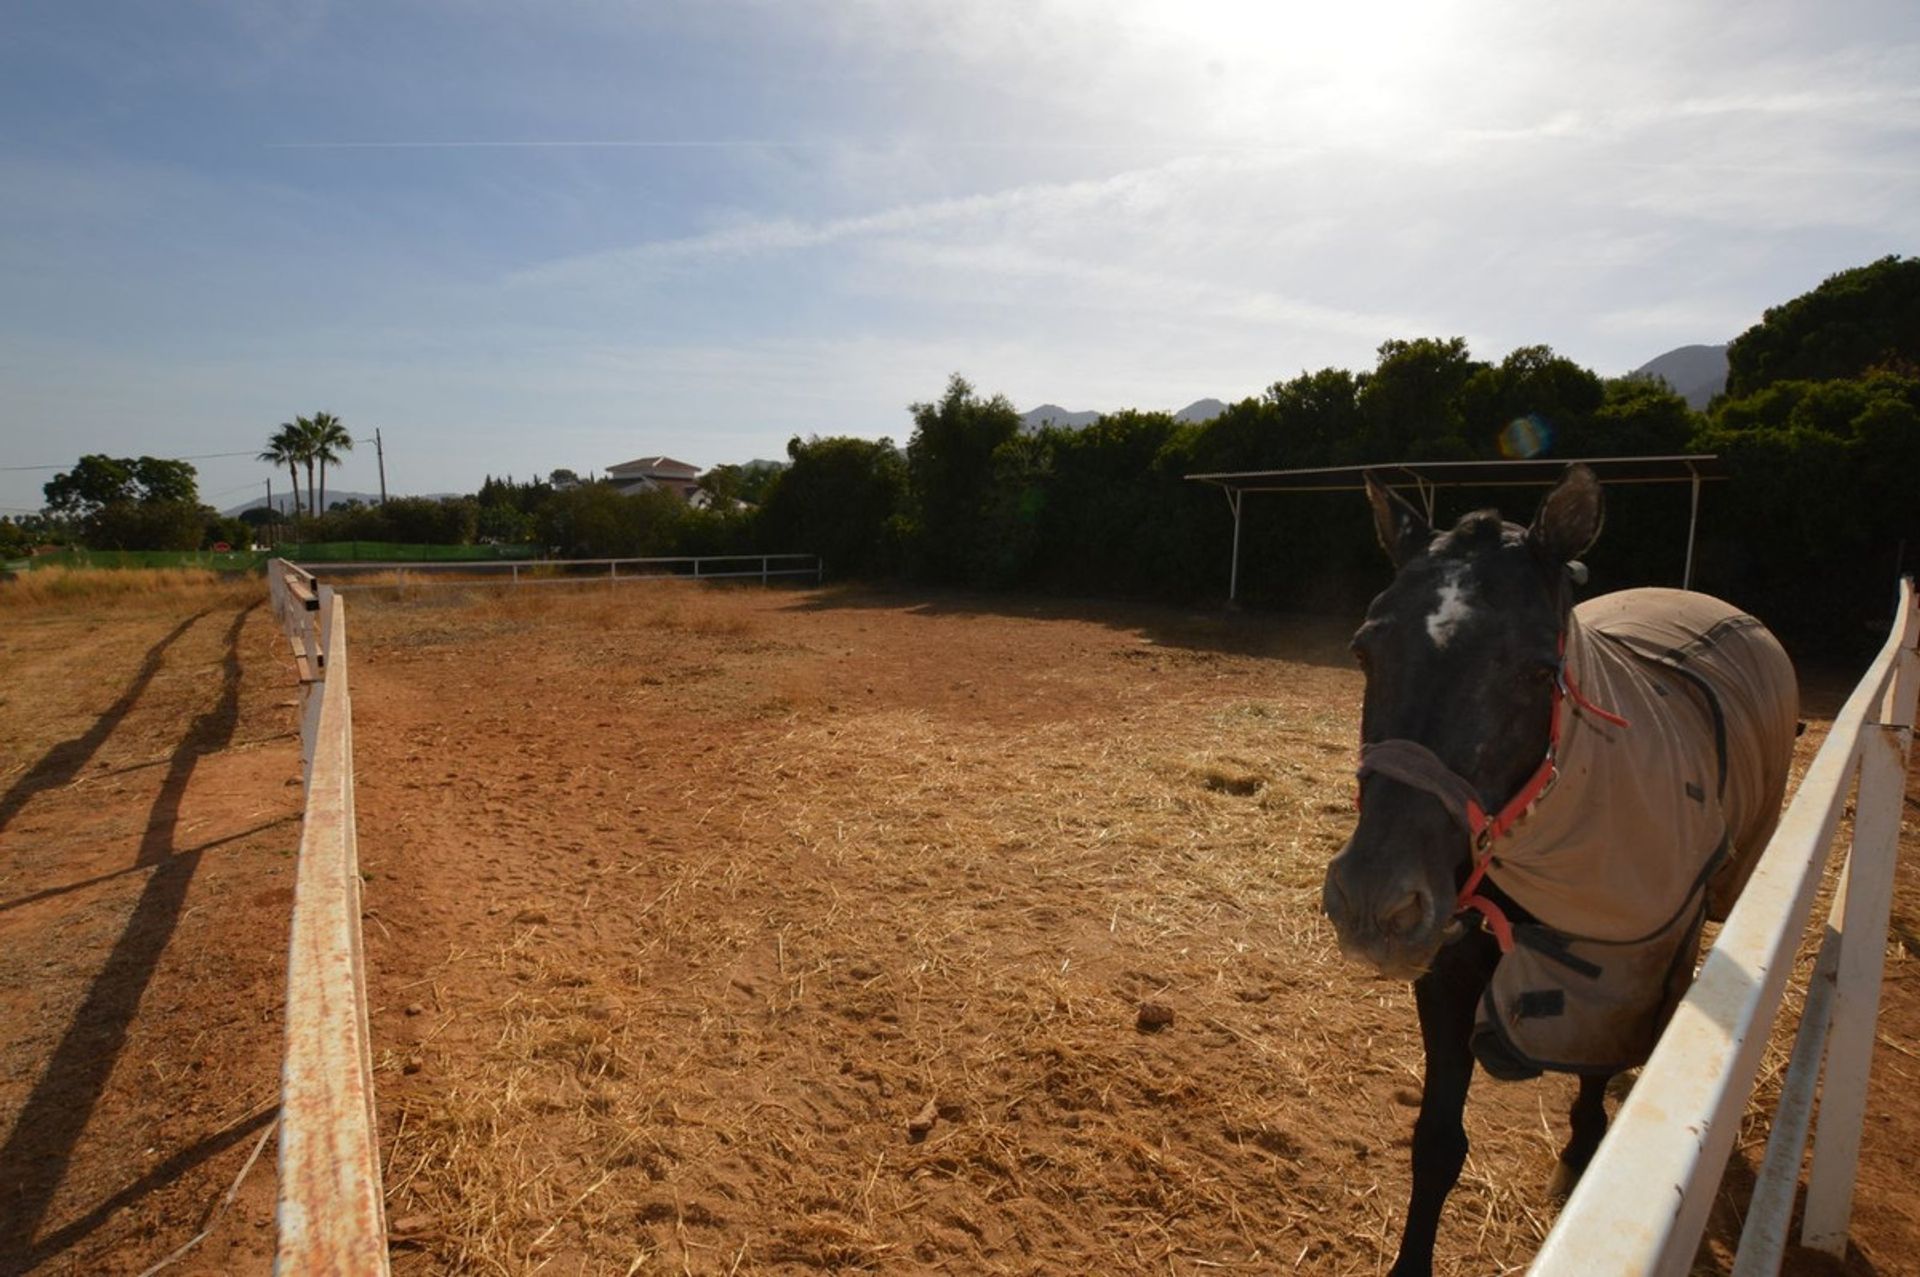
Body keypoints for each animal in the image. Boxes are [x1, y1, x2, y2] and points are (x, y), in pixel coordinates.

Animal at [1320, 466, 1797, 1275]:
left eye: (1540, 670)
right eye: (1364, 650)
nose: (1374, 901)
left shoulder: (1629, 967)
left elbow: (1599, 1060)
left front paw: (1580, 1153)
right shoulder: (1451, 964)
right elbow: (1436, 1143)